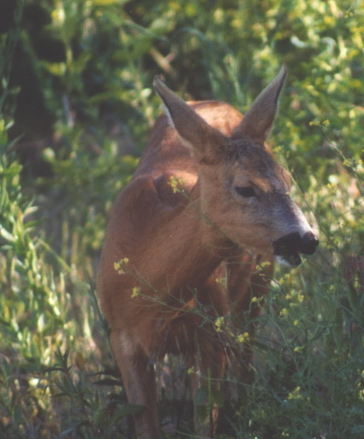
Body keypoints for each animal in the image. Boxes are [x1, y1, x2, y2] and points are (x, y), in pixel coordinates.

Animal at [96, 67, 318, 438]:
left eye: (288, 181)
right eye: (245, 188)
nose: (305, 239)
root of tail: (214, 102)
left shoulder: (211, 335)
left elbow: (206, 419)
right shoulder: (121, 338)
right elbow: (146, 422)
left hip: (253, 287)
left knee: (245, 358)